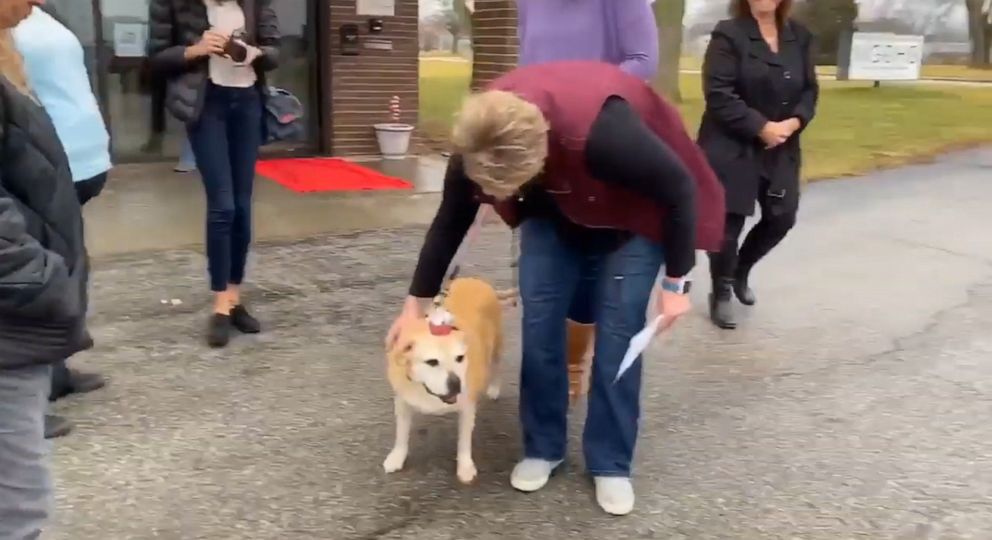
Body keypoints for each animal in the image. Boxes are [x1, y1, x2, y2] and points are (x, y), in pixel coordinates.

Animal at [382, 276, 500, 484]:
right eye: (431, 362)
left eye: (460, 358)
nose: (456, 384)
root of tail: (473, 279)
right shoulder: (403, 402)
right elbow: (401, 434)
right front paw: (397, 456)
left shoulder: (467, 407)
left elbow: (464, 441)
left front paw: (465, 466)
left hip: (496, 346)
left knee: (496, 365)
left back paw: (494, 387)